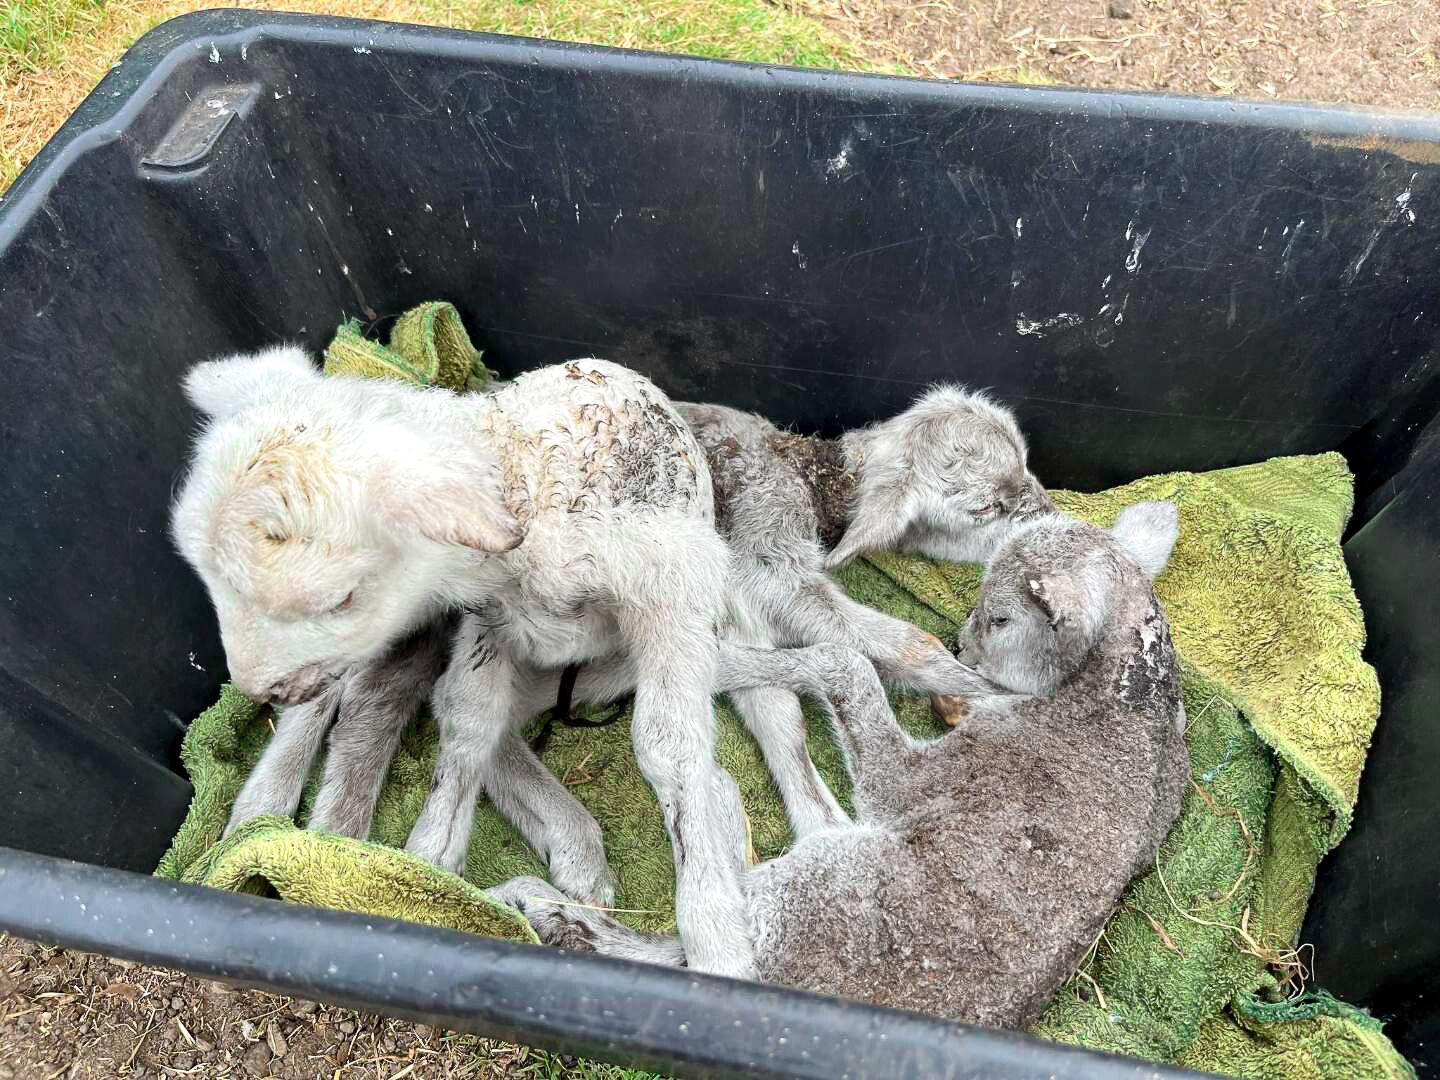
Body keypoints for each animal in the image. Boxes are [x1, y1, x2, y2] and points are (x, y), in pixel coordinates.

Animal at [491, 501, 1189, 1028]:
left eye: (999, 618)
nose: (962, 644)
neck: (1129, 687)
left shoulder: (926, 778)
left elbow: (845, 663)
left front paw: (722, 662)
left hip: (817, 887)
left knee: (700, 950)